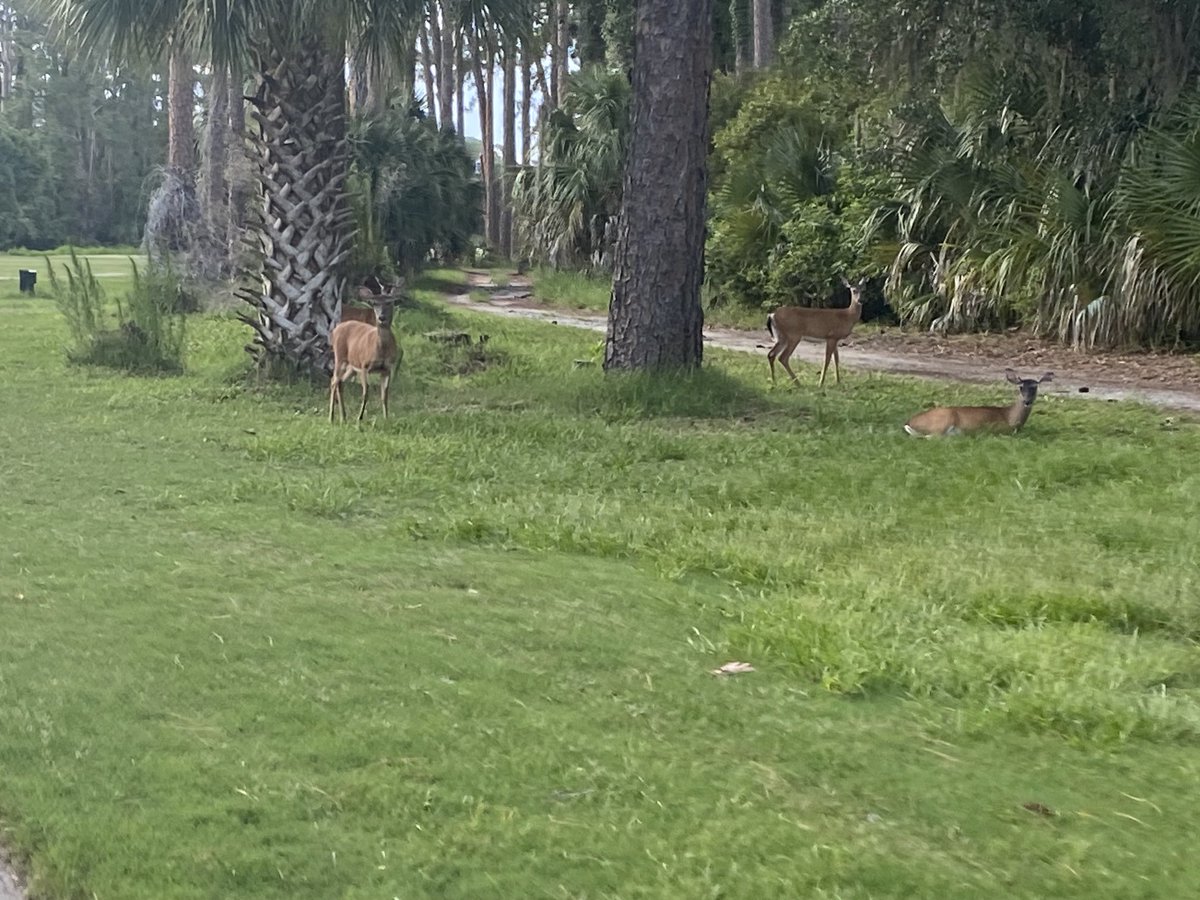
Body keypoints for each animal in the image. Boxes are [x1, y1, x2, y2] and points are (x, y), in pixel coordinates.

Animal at [904, 371, 1054, 436]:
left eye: (1035, 387)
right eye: (1021, 387)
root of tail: (909, 422)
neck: (1009, 417)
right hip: (942, 421)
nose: (1027, 401)